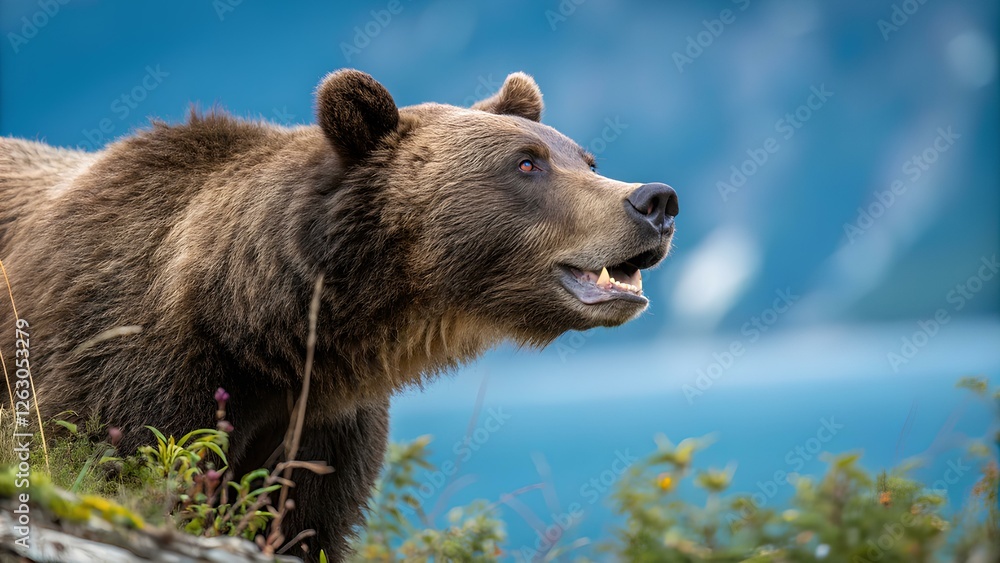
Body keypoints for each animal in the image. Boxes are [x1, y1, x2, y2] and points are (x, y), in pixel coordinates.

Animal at [0, 69, 678, 561]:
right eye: (527, 162)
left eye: (586, 160)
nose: (656, 199)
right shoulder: (121, 359)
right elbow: (115, 461)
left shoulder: (324, 425)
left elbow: (305, 525)